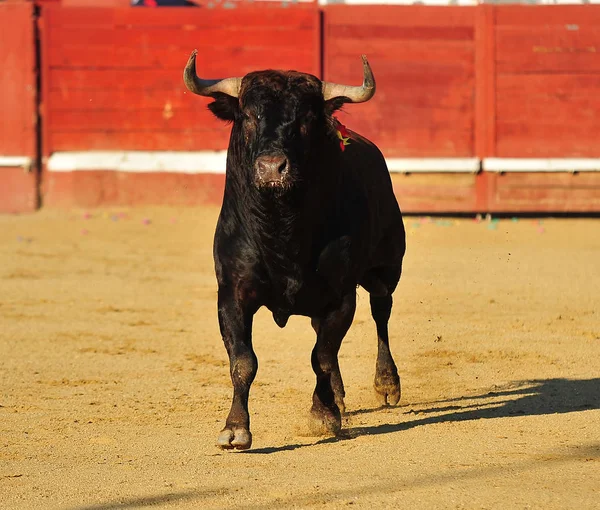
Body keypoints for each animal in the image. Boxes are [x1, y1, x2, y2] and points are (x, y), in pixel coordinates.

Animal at [184, 50, 408, 450]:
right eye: (248, 115)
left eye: (304, 118)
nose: (273, 167)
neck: (281, 229)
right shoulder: (231, 294)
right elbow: (243, 361)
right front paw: (235, 428)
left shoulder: (341, 295)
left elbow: (322, 356)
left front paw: (322, 416)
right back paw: (340, 396)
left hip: (387, 269)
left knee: (381, 312)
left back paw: (385, 384)